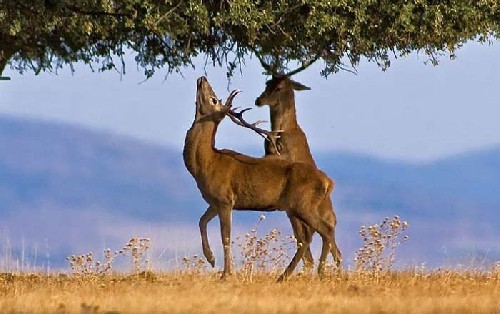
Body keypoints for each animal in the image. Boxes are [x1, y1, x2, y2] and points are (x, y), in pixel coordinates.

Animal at [185, 76, 340, 282]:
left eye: (214, 99)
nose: (202, 78)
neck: (206, 164)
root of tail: (328, 182)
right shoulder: (214, 201)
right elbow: (201, 221)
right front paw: (210, 258)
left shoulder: (225, 199)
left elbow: (226, 236)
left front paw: (226, 274)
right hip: (296, 207)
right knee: (311, 237)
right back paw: (287, 275)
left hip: (302, 203)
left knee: (322, 231)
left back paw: (316, 272)